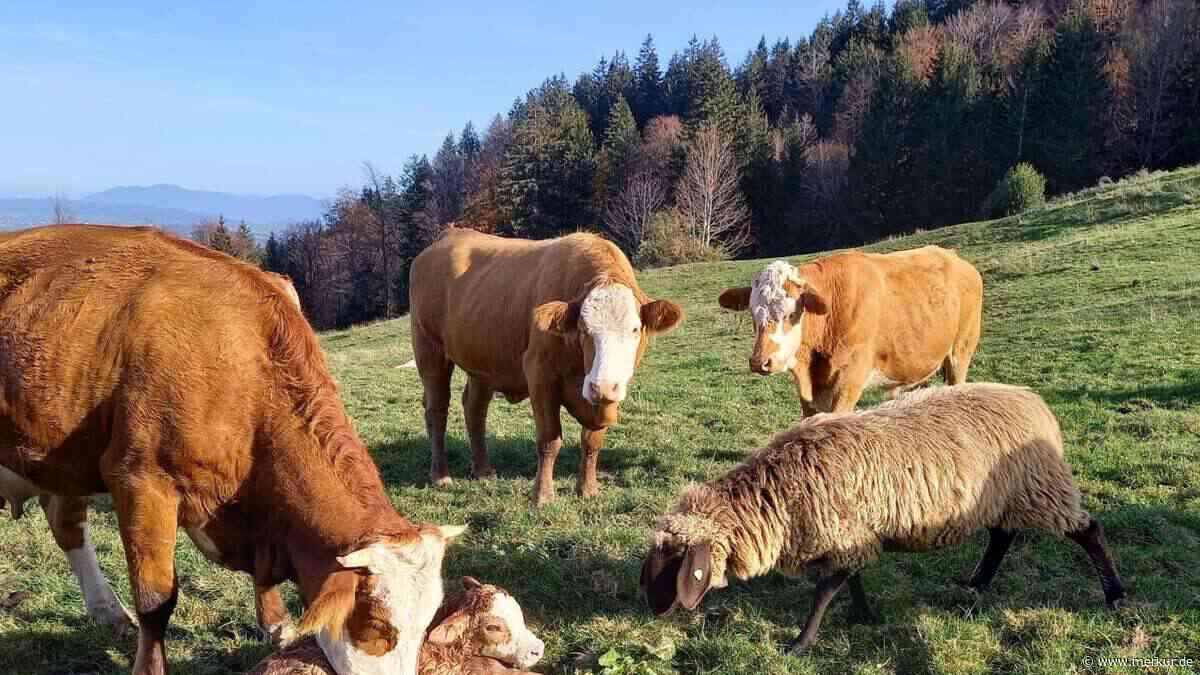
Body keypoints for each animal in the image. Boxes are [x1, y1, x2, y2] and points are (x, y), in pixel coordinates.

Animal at [640, 383, 1126, 655]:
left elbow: (824, 591)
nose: (653, 612)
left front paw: (800, 644)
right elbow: (848, 581)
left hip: (1040, 488)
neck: (774, 494)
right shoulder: (850, 535)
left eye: (677, 565)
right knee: (1002, 537)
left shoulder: (844, 533)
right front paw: (864, 614)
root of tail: (1034, 401)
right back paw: (977, 582)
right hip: (1000, 497)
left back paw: (1115, 594)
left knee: (1088, 531)